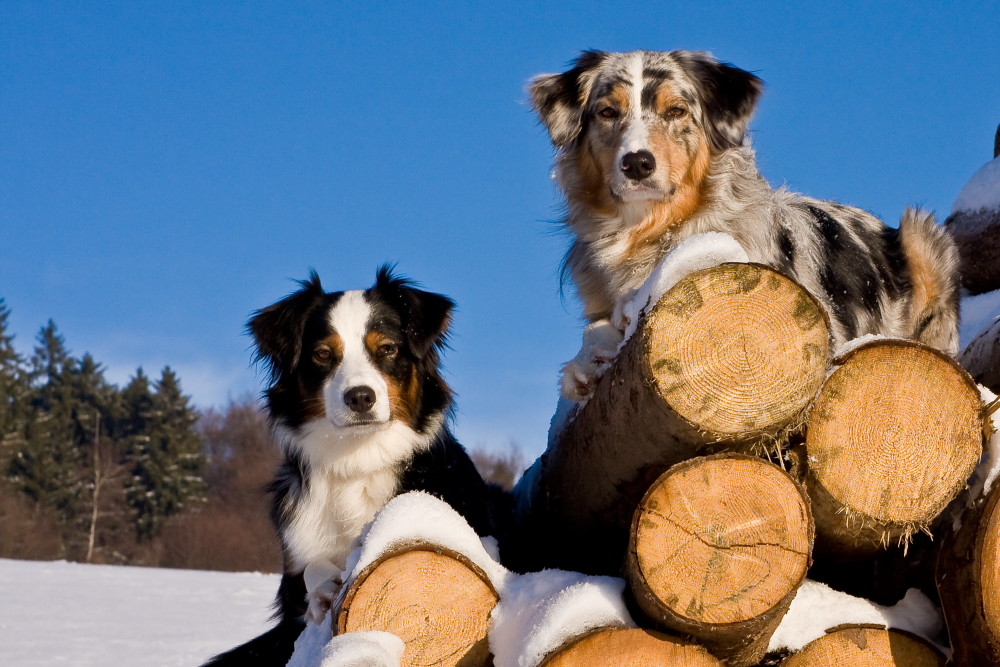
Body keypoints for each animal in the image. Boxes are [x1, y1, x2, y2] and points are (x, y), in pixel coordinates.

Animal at [204, 268, 500, 667]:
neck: (357, 460)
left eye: (387, 349)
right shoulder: (292, 572)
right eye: (323, 354)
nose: (360, 397)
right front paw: (323, 590)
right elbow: (310, 570)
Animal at [532, 48, 960, 402]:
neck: (649, 229)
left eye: (676, 111)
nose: (637, 163)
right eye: (607, 113)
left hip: (922, 238)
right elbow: (596, 331)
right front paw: (588, 362)